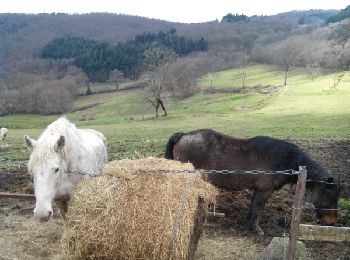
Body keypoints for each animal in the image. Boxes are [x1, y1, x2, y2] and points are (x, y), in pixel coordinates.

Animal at [165, 129, 340, 235]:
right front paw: (256, 229)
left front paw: (248, 224)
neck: (283, 160)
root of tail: (183, 135)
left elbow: (253, 207)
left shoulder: (258, 190)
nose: (331, 222)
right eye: (330, 196)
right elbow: (258, 209)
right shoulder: (265, 191)